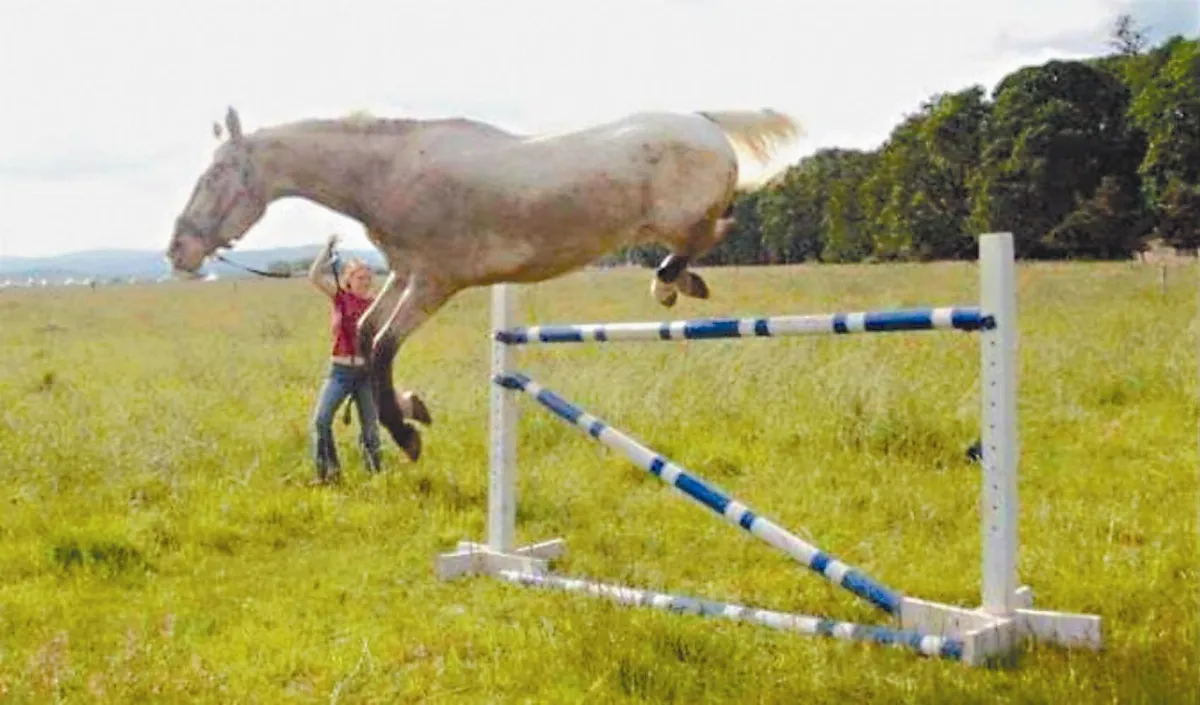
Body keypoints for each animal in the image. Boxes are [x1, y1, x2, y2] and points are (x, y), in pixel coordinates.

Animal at [166, 106, 804, 463]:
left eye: (216, 175)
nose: (178, 251)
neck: (389, 174)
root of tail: (705, 123)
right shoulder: (405, 274)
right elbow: (367, 338)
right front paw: (413, 410)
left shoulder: (435, 282)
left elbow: (382, 348)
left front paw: (407, 434)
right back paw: (682, 282)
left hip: (678, 217)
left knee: (718, 226)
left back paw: (672, 286)